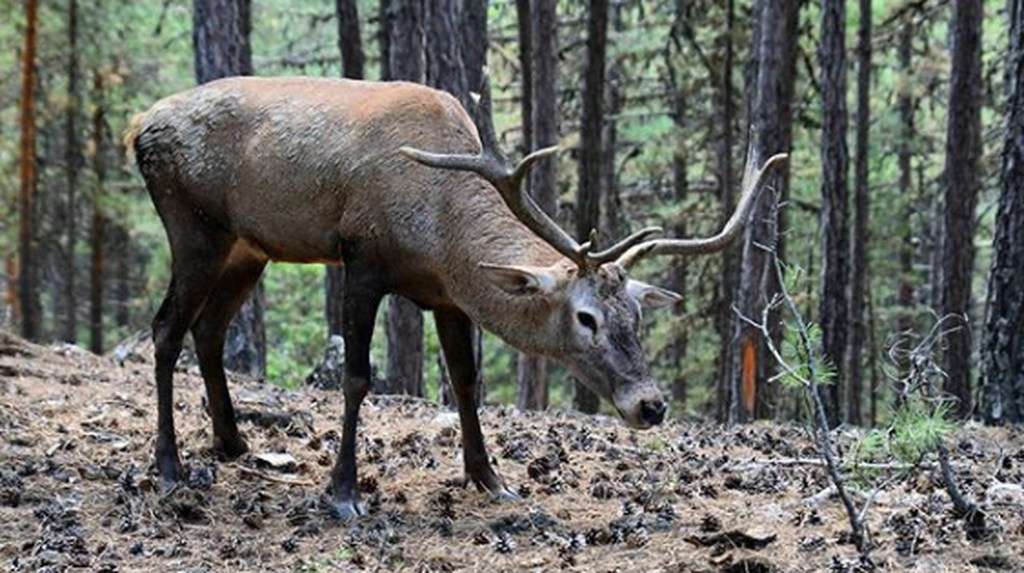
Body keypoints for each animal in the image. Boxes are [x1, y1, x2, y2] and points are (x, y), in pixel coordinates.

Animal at [128, 76, 782, 519]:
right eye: (586, 317)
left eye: (638, 316)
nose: (650, 405)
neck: (439, 231)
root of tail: (138, 124)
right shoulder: (361, 258)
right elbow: (357, 378)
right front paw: (344, 493)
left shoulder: (446, 295)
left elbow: (467, 381)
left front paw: (491, 478)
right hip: (192, 224)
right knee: (164, 330)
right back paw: (170, 467)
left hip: (248, 247)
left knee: (209, 329)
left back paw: (233, 442)